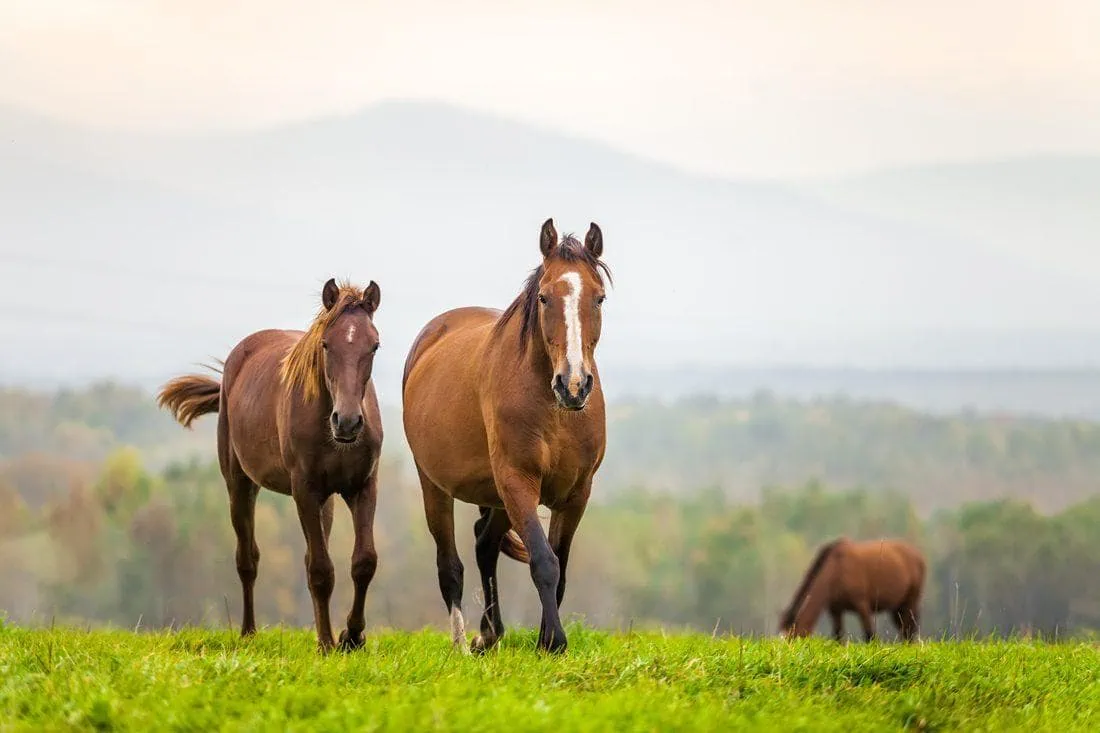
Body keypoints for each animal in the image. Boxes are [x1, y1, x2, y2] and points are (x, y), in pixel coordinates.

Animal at [157, 278, 383, 653]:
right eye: (326, 344)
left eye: (374, 345)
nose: (348, 422)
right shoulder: (304, 490)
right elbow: (321, 570)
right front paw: (327, 643)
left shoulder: (362, 487)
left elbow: (363, 562)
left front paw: (351, 637)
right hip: (240, 484)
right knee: (247, 559)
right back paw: (249, 632)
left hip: (326, 500)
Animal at [402, 218, 611, 654]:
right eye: (545, 298)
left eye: (598, 298)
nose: (574, 385)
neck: (555, 411)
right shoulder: (518, 481)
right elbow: (544, 562)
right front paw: (554, 642)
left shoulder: (576, 493)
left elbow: (560, 565)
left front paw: (546, 638)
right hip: (436, 486)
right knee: (450, 564)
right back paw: (462, 645)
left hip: (496, 495)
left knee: (484, 544)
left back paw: (489, 633)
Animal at [779, 537, 926, 642]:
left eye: (793, 638)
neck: (837, 569)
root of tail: (918, 556)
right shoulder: (836, 610)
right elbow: (838, 637)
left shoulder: (862, 605)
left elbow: (869, 635)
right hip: (897, 608)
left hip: (910, 602)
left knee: (909, 629)